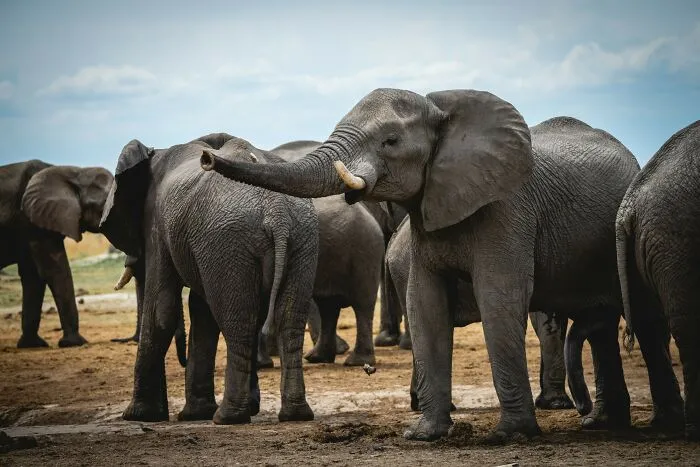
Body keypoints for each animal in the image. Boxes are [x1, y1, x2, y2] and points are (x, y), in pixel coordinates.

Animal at [0, 160, 113, 348]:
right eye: (106, 204)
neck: (75, 172)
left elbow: (33, 277)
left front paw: (32, 344)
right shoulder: (33, 221)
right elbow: (55, 271)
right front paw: (74, 342)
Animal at [99, 133, 318, 424]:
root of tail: (277, 212)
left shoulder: (156, 223)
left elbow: (161, 311)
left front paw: (138, 416)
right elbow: (200, 310)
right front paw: (193, 414)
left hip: (229, 240)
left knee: (239, 322)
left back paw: (228, 417)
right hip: (301, 238)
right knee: (287, 321)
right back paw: (295, 414)